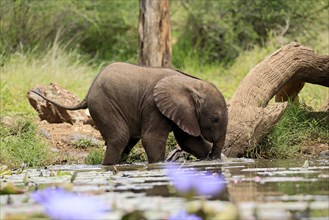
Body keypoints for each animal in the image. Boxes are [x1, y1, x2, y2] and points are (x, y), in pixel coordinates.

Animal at [33, 62, 228, 164]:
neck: (189, 83)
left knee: (127, 140)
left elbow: (188, 141)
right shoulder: (154, 106)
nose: (213, 158)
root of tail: (87, 95)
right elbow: (152, 139)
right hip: (104, 105)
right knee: (120, 137)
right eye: (215, 119)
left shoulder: (182, 112)